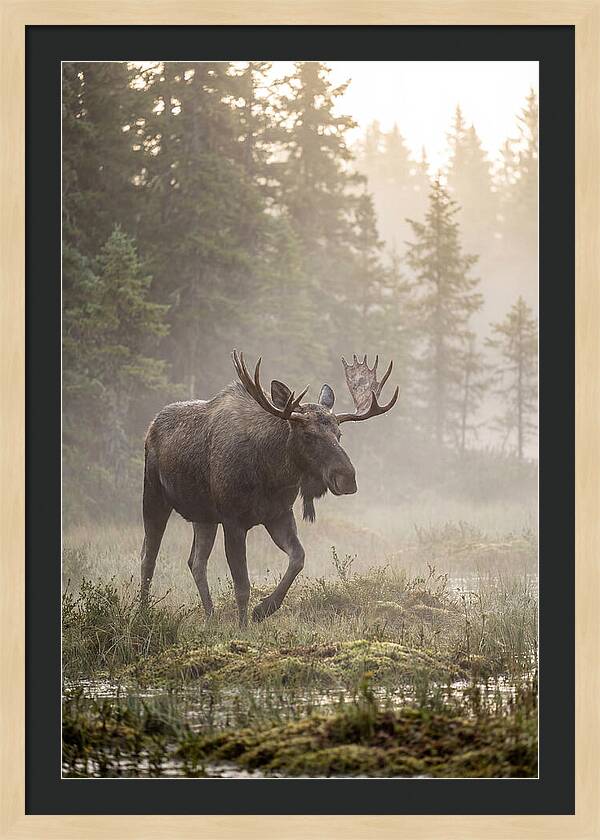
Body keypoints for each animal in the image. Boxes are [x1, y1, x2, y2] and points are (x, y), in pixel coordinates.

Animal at [140, 350, 398, 626]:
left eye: (339, 434)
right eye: (308, 435)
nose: (347, 478)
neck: (271, 474)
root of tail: (151, 426)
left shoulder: (278, 514)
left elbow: (298, 558)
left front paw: (263, 609)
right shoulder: (233, 520)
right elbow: (242, 584)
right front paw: (243, 626)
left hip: (203, 516)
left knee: (196, 562)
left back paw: (209, 616)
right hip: (153, 495)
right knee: (148, 556)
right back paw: (143, 612)